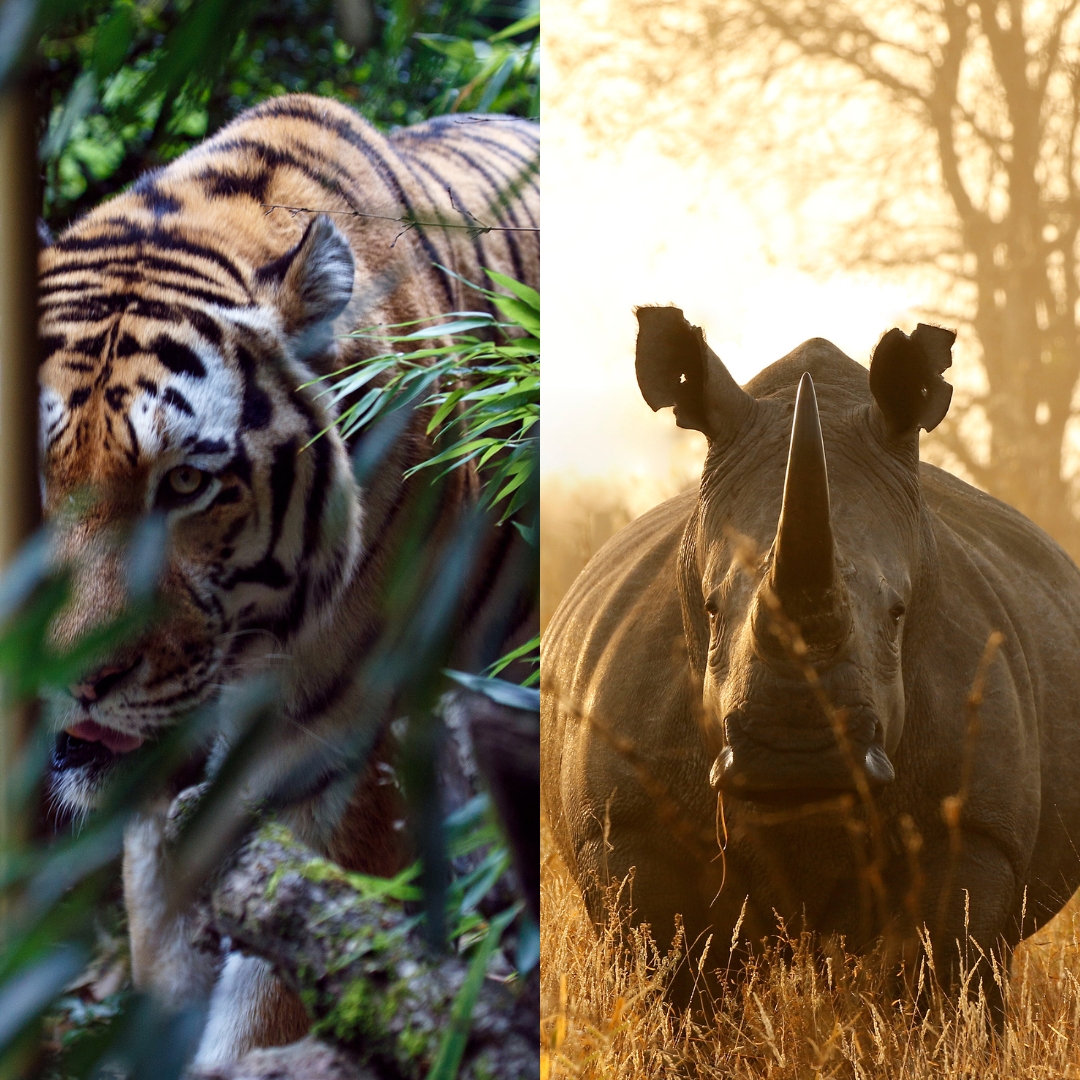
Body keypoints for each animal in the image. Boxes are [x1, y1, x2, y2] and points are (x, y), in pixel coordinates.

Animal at [540, 306, 1080, 1014]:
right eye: (710, 610)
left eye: (898, 613)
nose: (794, 759)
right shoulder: (627, 827)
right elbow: (672, 978)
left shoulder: (977, 830)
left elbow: (947, 977)